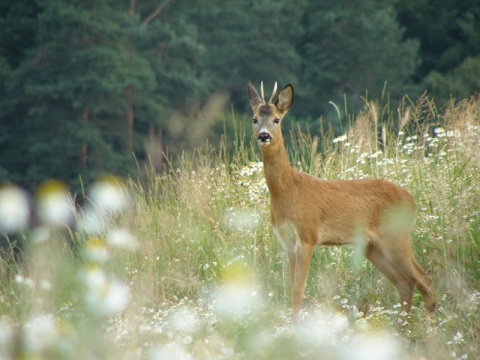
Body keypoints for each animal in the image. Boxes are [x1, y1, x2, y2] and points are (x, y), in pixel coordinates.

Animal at [248, 83, 436, 324]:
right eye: (255, 119)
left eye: (276, 119)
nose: (264, 135)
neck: (288, 189)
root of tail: (412, 200)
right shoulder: (287, 241)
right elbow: (291, 289)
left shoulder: (308, 235)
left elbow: (298, 290)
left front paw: (294, 329)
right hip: (373, 247)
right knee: (405, 284)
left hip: (395, 235)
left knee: (425, 281)